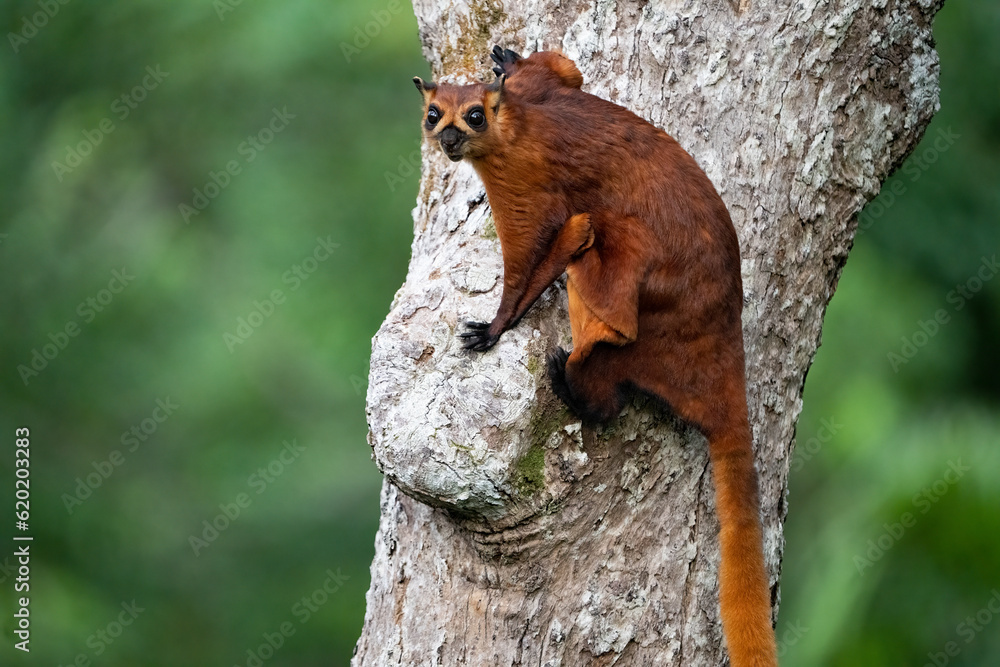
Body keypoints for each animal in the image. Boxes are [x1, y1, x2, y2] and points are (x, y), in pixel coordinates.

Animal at [413, 47, 778, 667]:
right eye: (435, 113)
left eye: (474, 117)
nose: (450, 139)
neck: (519, 122)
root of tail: (722, 348)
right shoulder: (545, 90)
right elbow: (561, 70)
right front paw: (510, 58)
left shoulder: (522, 184)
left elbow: (529, 259)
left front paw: (497, 325)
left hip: (626, 319)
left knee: (601, 315)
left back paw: (572, 382)